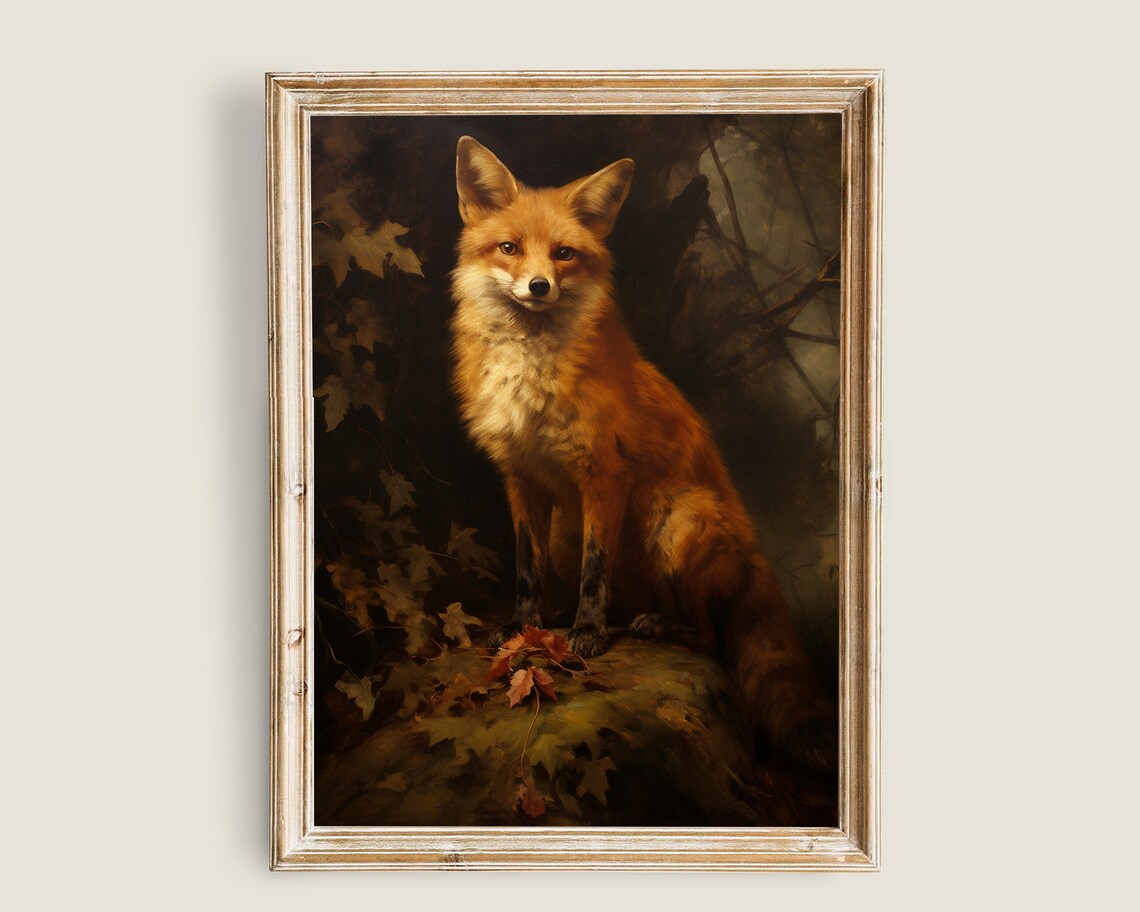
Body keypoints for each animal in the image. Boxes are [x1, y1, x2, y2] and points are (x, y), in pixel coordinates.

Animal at [449, 136, 836, 771]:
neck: (532, 373)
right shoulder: (519, 477)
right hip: (569, 529)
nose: (539, 287)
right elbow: (527, 568)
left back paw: (653, 625)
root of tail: (756, 555)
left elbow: (594, 570)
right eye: (509, 248)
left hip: (674, 521)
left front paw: (587, 634)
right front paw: (523, 629)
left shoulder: (602, 475)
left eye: (564, 254)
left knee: (709, 635)